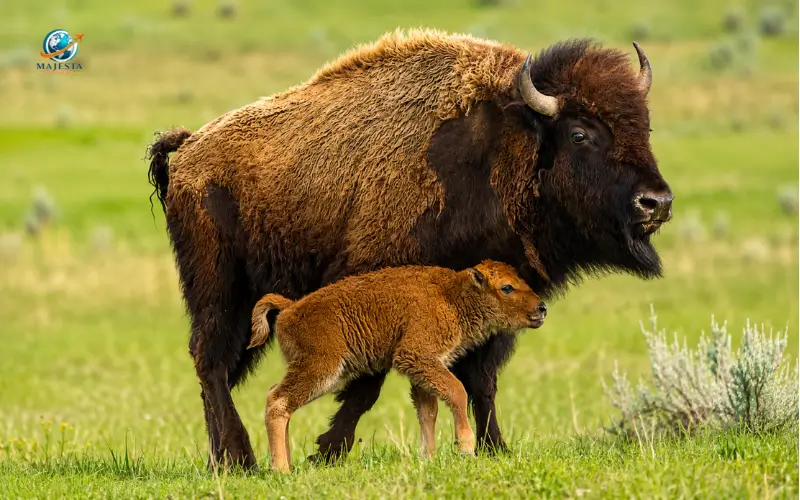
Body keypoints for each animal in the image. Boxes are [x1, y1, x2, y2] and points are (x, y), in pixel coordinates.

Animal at [146, 28, 673, 470]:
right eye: (580, 133)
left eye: (646, 127)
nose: (657, 202)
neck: (502, 145)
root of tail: (189, 148)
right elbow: (369, 383)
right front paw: (328, 450)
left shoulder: (491, 311)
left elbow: (481, 380)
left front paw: (494, 447)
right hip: (217, 289)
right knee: (211, 364)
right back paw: (239, 458)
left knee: (216, 371)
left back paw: (223, 458)